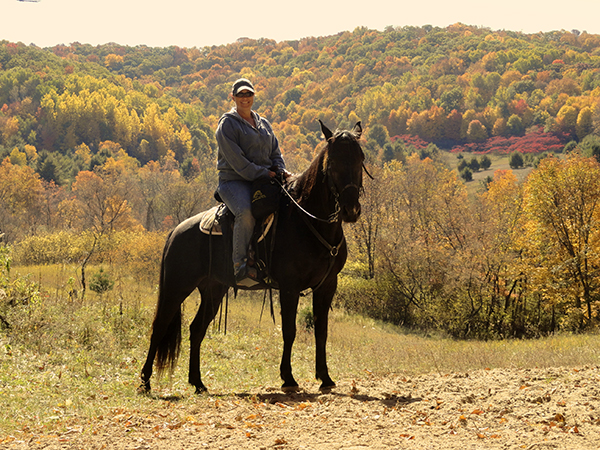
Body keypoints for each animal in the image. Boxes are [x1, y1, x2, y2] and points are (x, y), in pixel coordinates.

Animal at [141, 119, 366, 394]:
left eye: (360, 158)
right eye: (333, 161)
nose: (350, 210)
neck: (310, 222)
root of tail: (175, 231)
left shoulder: (327, 285)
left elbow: (321, 331)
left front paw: (325, 377)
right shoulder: (289, 287)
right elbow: (289, 330)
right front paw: (288, 378)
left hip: (213, 289)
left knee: (196, 329)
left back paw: (198, 383)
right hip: (177, 286)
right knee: (159, 326)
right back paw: (145, 382)